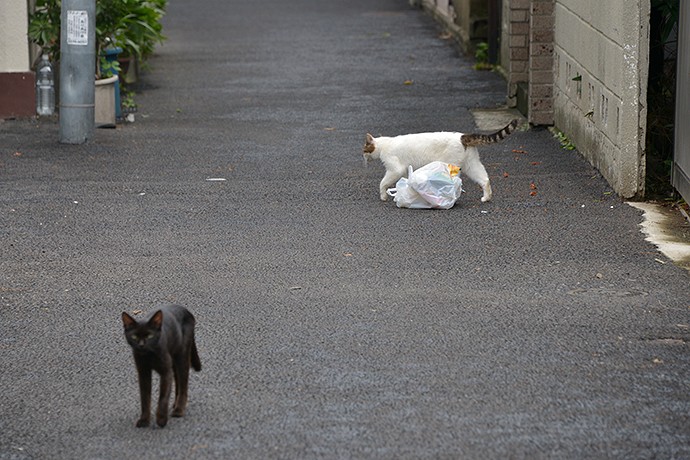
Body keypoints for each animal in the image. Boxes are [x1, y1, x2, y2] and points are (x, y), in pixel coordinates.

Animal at [360, 120, 516, 203]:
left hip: (453, 165)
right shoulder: (403, 170)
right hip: (471, 164)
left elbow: (382, 183)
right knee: (485, 179)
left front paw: (383, 195)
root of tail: (462, 136)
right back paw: (486, 197)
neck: (384, 145)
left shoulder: (395, 169)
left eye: (364, 150)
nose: (362, 157)